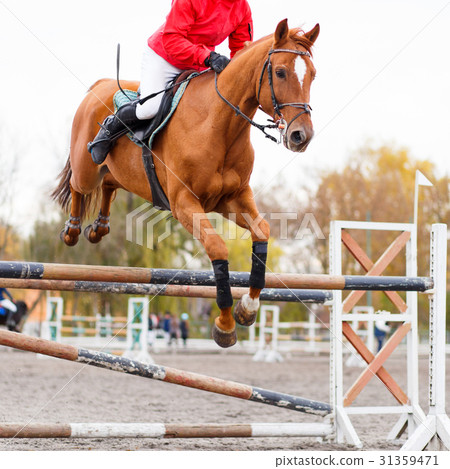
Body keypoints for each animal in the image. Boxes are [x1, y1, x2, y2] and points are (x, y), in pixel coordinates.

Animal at [52, 19, 320, 348]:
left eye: (313, 75)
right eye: (280, 72)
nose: (301, 136)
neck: (220, 125)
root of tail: (99, 85)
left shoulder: (233, 199)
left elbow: (262, 233)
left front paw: (248, 308)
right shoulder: (184, 204)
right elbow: (218, 248)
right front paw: (225, 324)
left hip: (118, 173)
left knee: (110, 185)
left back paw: (98, 228)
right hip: (86, 167)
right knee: (80, 186)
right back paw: (73, 230)